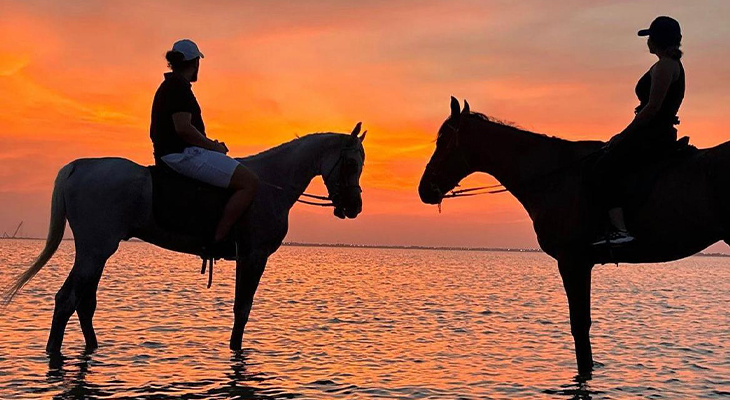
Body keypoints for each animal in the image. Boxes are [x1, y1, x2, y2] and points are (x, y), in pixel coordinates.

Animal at [3, 125, 367, 354]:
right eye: (350, 162)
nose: (354, 207)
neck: (270, 183)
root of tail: (79, 166)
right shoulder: (253, 255)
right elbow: (242, 309)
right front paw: (235, 349)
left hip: (96, 252)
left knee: (83, 303)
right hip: (95, 251)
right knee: (67, 300)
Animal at [418, 97, 730, 376]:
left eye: (443, 141)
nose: (424, 189)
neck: (553, 175)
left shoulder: (572, 262)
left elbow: (580, 326)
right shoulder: (579, 263)